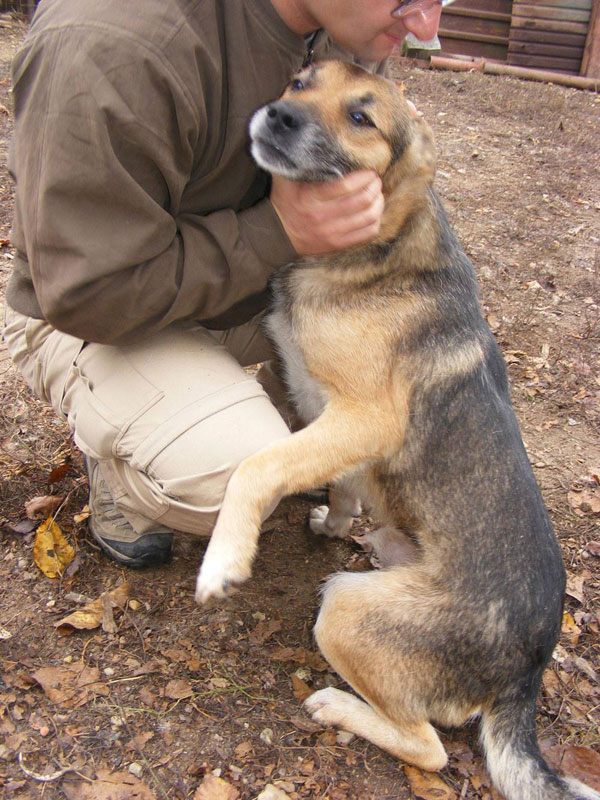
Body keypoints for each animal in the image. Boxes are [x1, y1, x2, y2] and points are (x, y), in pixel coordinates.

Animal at [195, 61, 596, 800]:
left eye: (362, 117)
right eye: (301, 82)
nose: (277, 115)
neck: (373, 250)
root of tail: (525, 678)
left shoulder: (364, 417)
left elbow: (258, 466)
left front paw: (225, 558)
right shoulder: (327, 412)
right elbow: (337, 482)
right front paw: (333, 520)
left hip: (346, 611)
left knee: (429, 748)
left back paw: (337, 705)